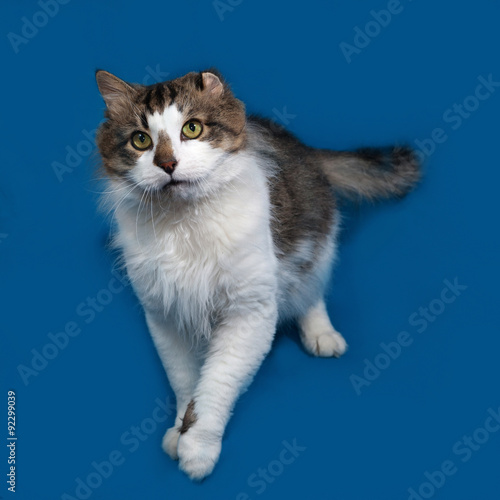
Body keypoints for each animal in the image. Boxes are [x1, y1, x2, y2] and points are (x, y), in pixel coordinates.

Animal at [94, 68, 422, 478]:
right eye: (141, 140)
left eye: (192, 129)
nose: (167, 165)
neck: (185, 224)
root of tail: (304, 147)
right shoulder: (166, 315)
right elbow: (186, 382)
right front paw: (178, 431)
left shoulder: (249, 312)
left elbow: (215, 386)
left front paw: (198, 449)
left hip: (312, 244)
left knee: (312, 291)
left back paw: (321, 335)